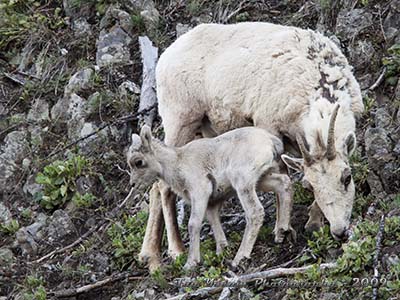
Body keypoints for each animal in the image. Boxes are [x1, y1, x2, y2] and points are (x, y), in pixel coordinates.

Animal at [128, 125, 294, 268]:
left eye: (139, 162)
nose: (133, 184)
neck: (177, 163)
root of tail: (270, 140)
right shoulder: (211, 204)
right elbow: (214, 222)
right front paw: (221, 251)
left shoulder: (200, 193)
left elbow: (193, 224)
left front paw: (191, 263)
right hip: (261, 179)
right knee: (283, 183)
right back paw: (282, 232)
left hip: (243, 183)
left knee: (255, 213)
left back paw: (239, 258)